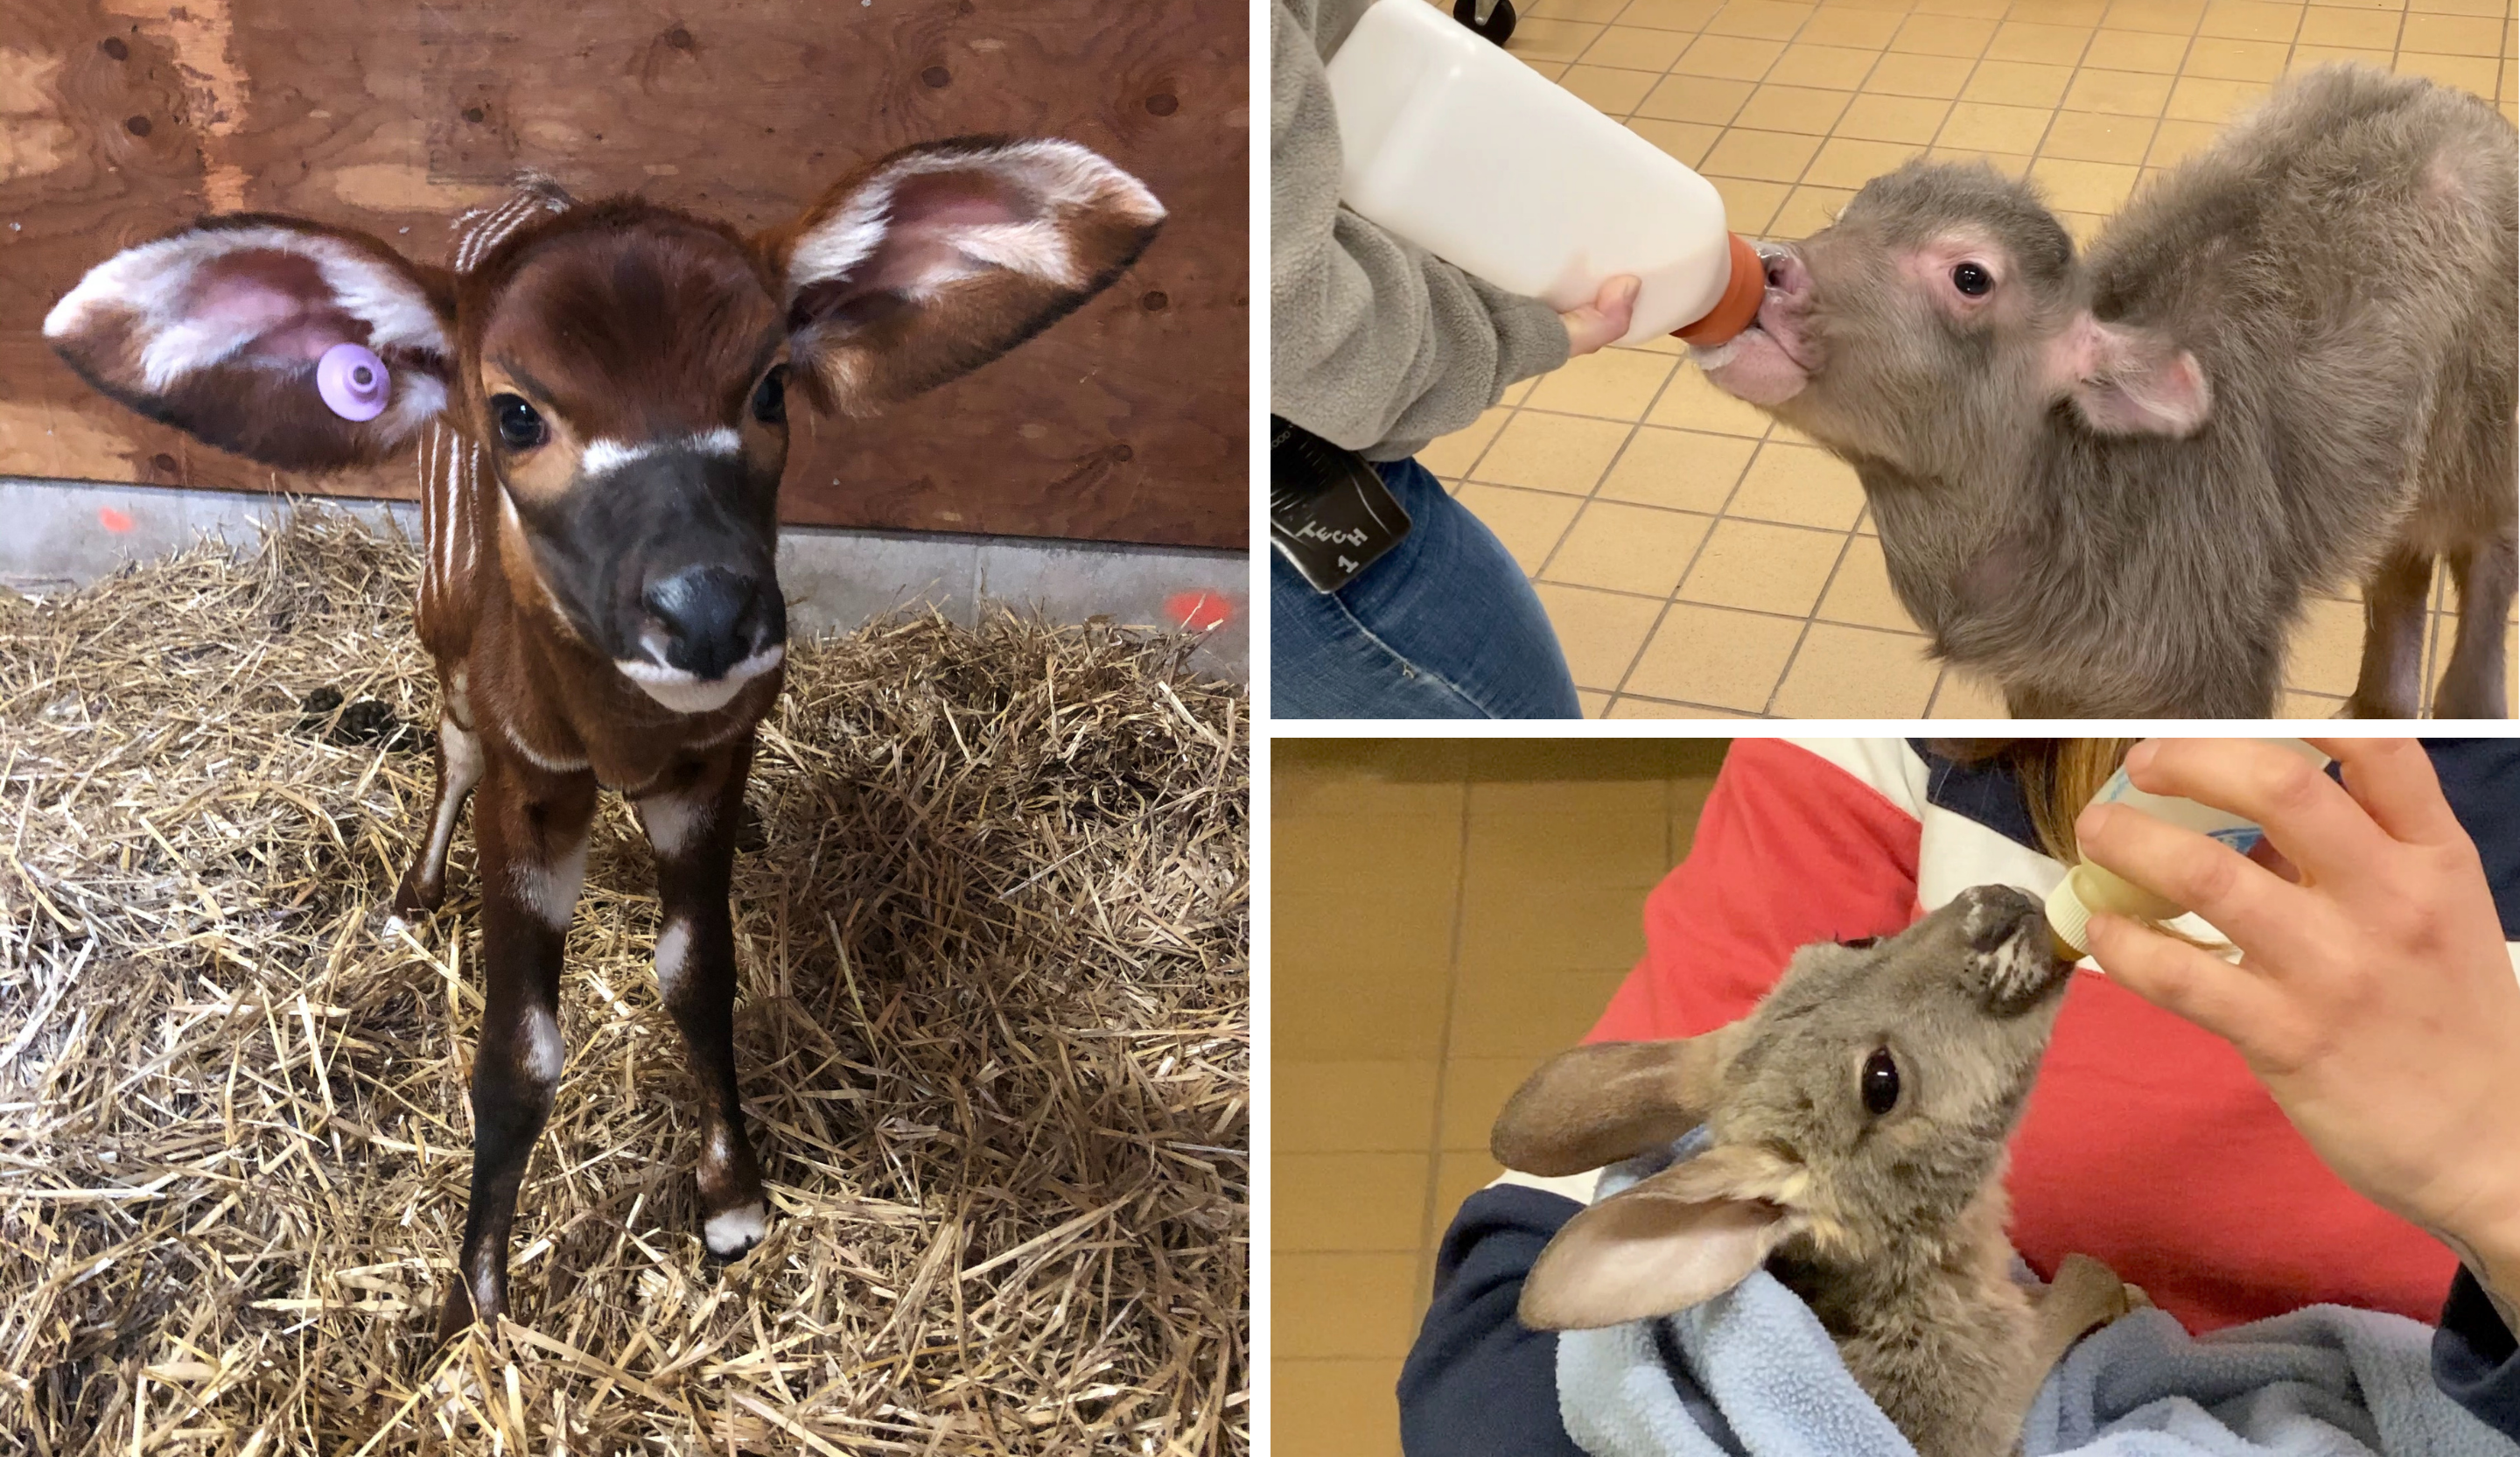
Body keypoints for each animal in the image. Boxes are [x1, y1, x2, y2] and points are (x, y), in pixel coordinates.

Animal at [46, 138, 1169, 1341]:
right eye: (516, 412)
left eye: (770, 385)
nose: (710, 612)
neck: (623, 737)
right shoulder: (531, 782)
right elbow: (519, 1046)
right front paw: (476, 1301)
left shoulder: (712, 763)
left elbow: (699, 971)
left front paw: (733, 1203)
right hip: (442, 625)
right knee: (446, 739)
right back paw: (413, 893)